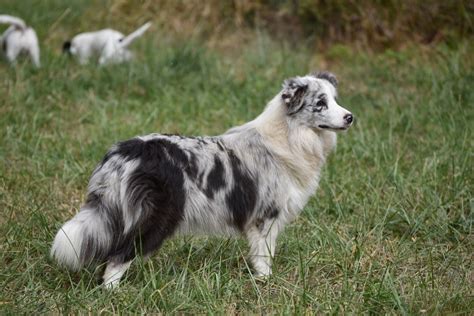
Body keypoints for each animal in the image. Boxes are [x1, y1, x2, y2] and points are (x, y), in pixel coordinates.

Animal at [52, 72, 352, 288]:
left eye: (336, 99)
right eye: (320, 103)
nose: (350, 117)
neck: (288, 137)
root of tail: (125, 152)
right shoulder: (265, 218)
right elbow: (264, 256)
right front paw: (265, 282)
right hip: (156, 218)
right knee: (117, 258)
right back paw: (114, 294)